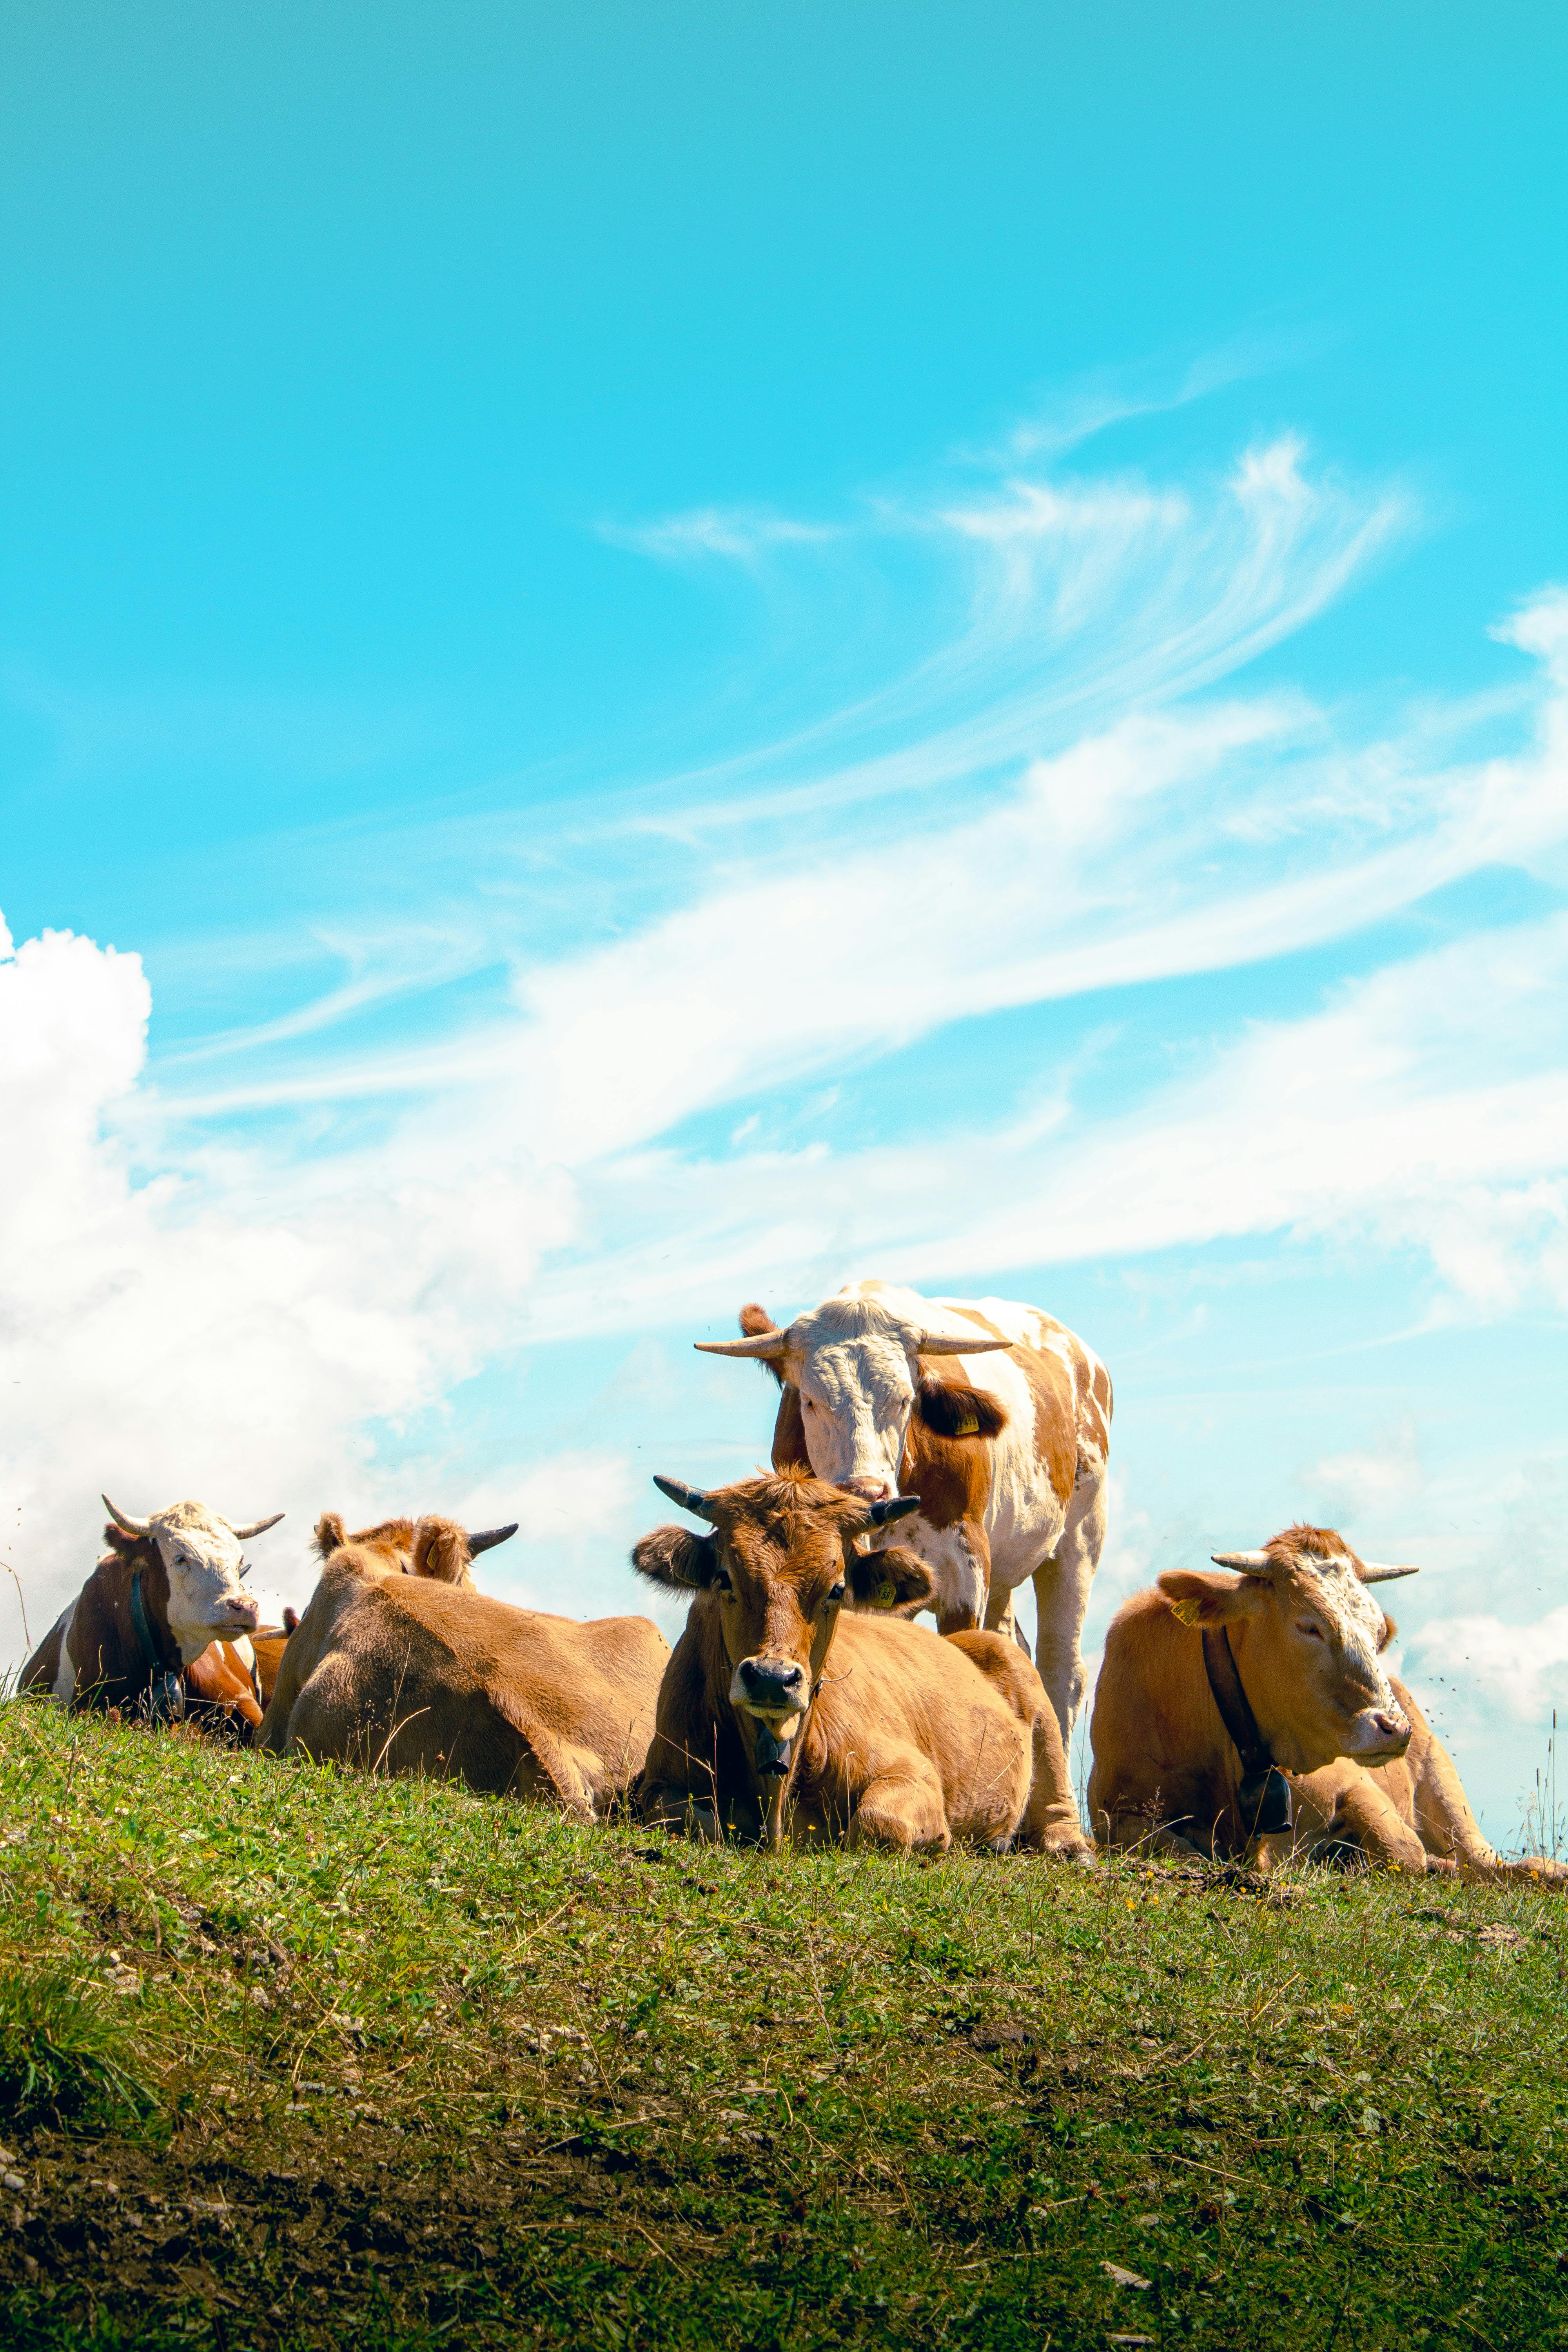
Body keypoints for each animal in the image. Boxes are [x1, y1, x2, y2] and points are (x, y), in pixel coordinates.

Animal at [631, 1468, 1093, 1859]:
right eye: (724, 1578)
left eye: (837, 1589)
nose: (771, 1678)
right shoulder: (658, 1782)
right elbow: (694, 1820)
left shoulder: (914, 1774)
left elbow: (877, 1824)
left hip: (1037, 1711)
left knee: (1056, 1810)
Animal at [693, 1280, 1112, 1754]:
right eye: (810, 1401)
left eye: (904, 1400)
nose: (865, 1491)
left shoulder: (965, 1567)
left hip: (1079, 1542)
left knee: (1062, 1670)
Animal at [1086, 1523, 1420, 1864]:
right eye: (1309, 1627)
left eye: (1379, 1633)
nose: (1396, 1729)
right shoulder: (1115, 1817)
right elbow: (1181, 1851)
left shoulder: (1358, 1787)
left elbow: (1406, 1852)